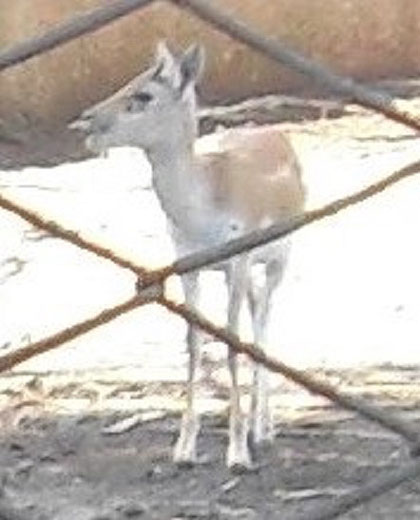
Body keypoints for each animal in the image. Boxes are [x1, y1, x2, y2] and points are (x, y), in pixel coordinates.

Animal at [69, 42, 306, 470]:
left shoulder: (237, 261)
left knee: (264, 323)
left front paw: (237, 452)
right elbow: (194, 344)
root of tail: (276, 136)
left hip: (277, 262)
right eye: (128, 79)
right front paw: (184, 449)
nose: (88, 119)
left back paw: (263, 430)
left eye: (144, 95)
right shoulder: (188, 267)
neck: (205, 200)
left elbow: (231, 341)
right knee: (256, 315)